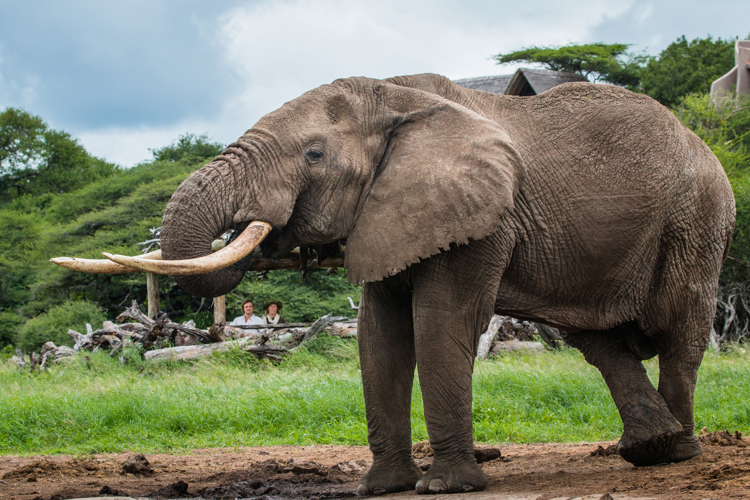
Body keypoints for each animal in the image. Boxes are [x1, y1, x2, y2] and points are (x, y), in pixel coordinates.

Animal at [95, 73, 735, 495]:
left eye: (314, 153)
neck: (393, 98)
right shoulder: (386, 217)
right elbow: (379, 339)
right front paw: (381, 487)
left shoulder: (480, 219)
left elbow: (437, 327)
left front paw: (446, 486)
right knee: (596, 339)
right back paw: (648, 449)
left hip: (697, 219)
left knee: (678, 330)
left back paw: (679, 453)